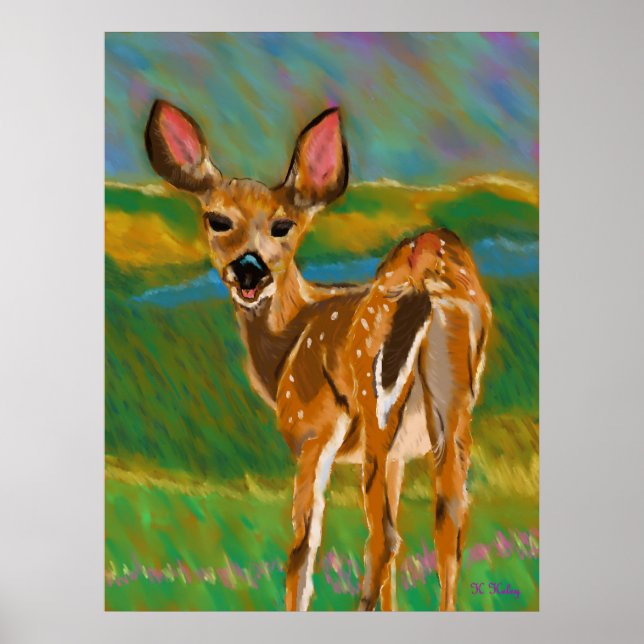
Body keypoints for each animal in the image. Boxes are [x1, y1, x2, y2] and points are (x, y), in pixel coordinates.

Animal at [144, 99, 492, 611]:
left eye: (282, 226)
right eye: (217, 220)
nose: (249, 268)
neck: (288, 341)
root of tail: (427, 275)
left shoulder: (314, 428)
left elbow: (302, 548)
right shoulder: (399, 454)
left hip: (374, 399)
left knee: (381, 538)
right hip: (453, 407)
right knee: (449, 521)